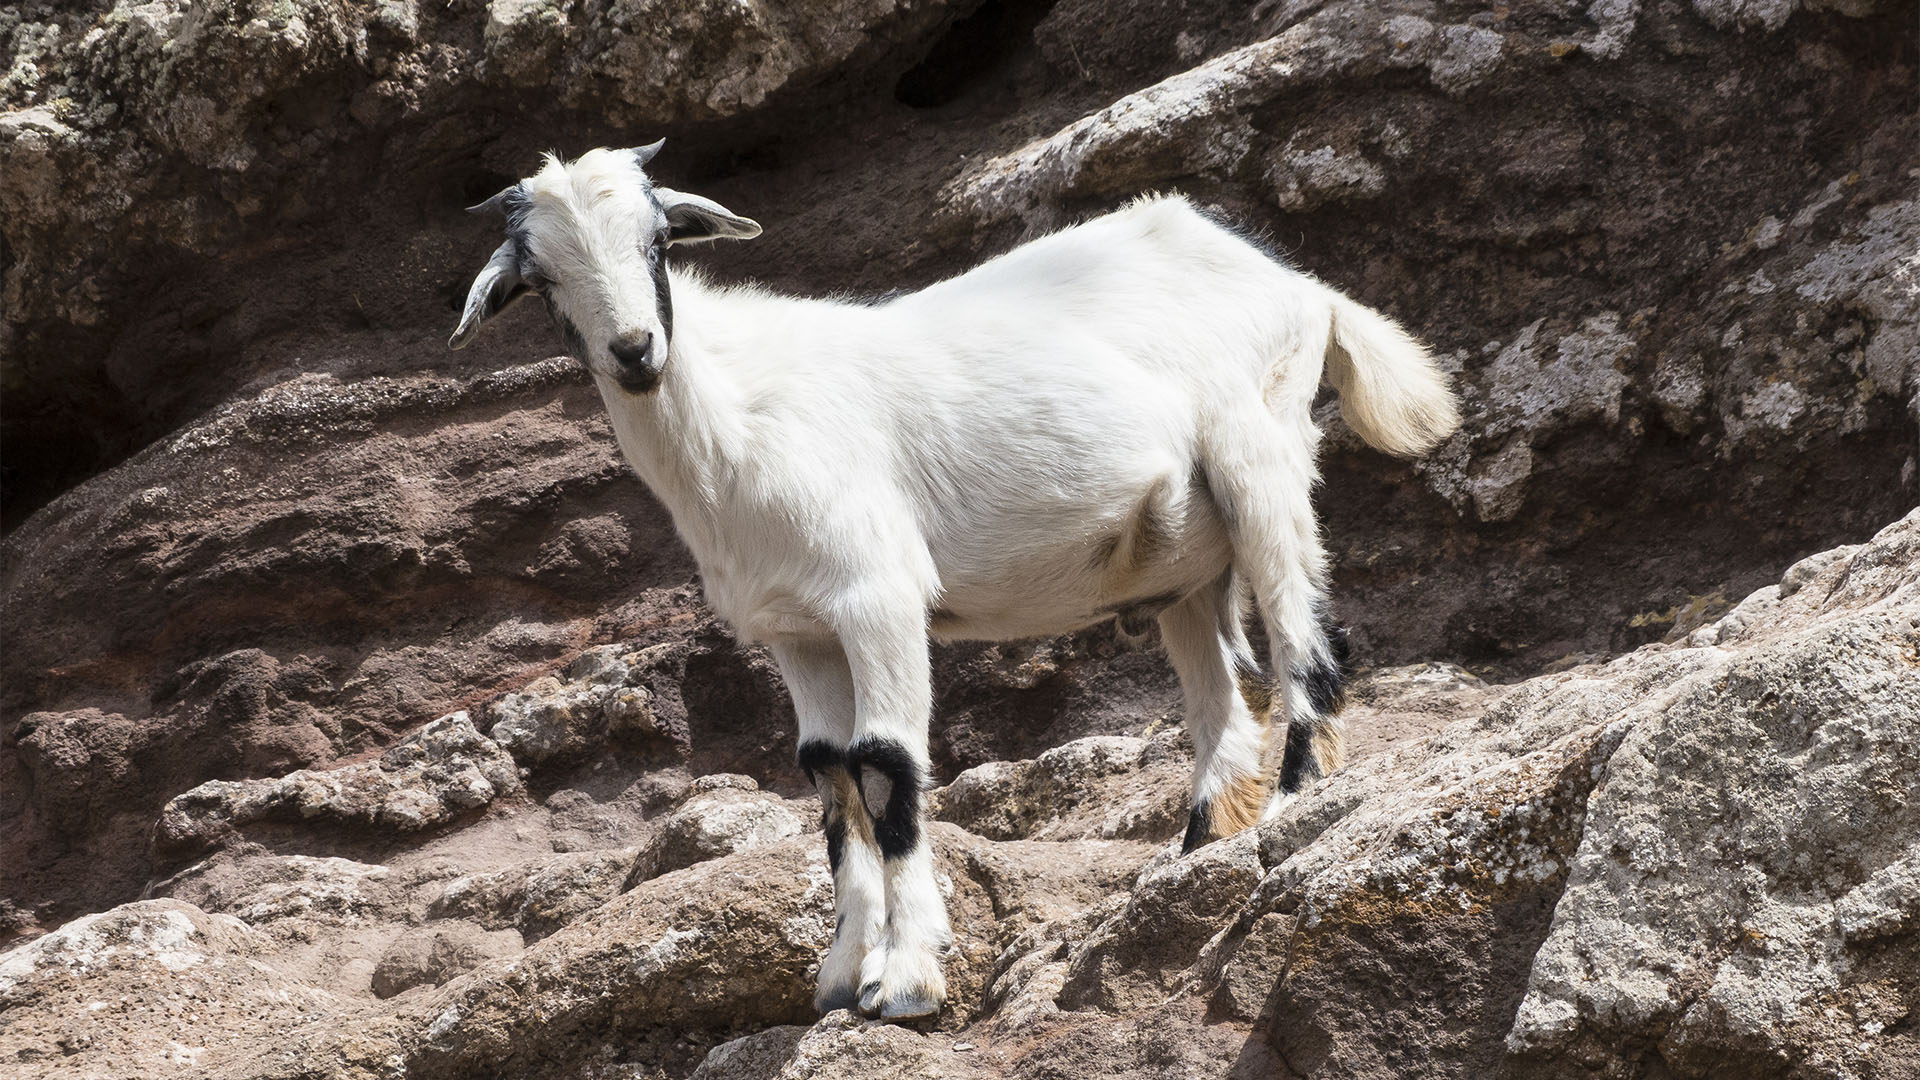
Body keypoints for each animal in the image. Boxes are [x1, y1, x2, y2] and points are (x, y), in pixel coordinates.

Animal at [449, 143, 1459, 1014]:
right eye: (540, 279)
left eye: (657, 241)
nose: (633, 352)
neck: (735, 424)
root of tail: (1298, 286)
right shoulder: (795, 631)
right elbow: (829, 781)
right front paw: (842, 971)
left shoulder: (877, 596)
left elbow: (886, 768)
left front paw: (906, 980)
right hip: (1184, 566)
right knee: (1222, 707)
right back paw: (1197, 855)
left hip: (1263, 453)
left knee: (1306, 640)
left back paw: (1293, 812)